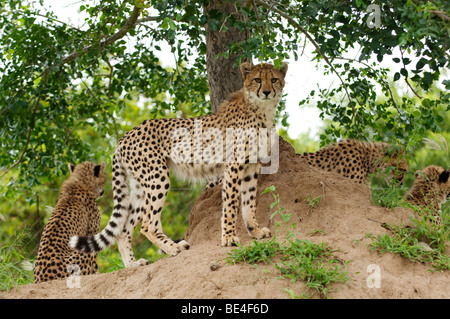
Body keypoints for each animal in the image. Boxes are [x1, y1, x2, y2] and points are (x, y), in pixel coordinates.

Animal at [70, 62, 288, 268]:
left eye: (274, 79)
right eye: (258, 80)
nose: (266, 92)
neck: (261, 109)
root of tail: (125, 136)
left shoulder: (252, 166)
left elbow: (249, 202)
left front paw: (255, 231)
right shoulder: (233, 166)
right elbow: (232, 203)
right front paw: (228, 238)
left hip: (140, 187)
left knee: (124, 229)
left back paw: (132, 264)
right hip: (157, 177)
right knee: (148, 223)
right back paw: (173, 248)